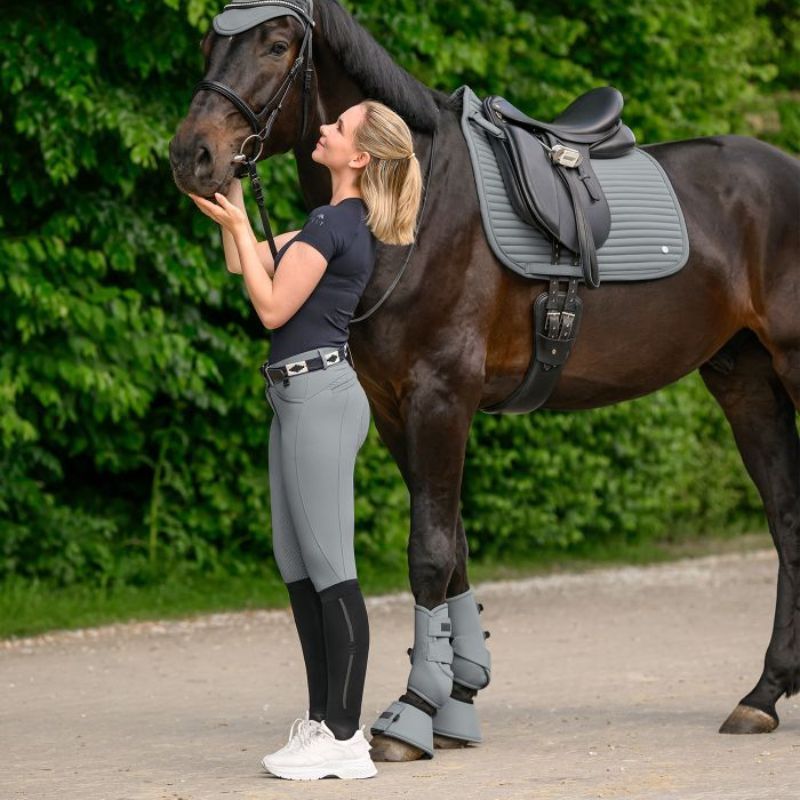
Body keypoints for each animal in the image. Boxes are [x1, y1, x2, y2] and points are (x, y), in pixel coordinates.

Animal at [169, 0, 800, 761]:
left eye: (277, 43)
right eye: (209, 43)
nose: (192, 156)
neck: (415, 204)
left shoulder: (442, 397)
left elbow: (430, 554)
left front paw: (413, 714)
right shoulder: (395, 408)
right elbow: (457, 552)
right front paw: (458, 696)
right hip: (744, 379)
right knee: (787, 518)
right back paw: (763, 694)